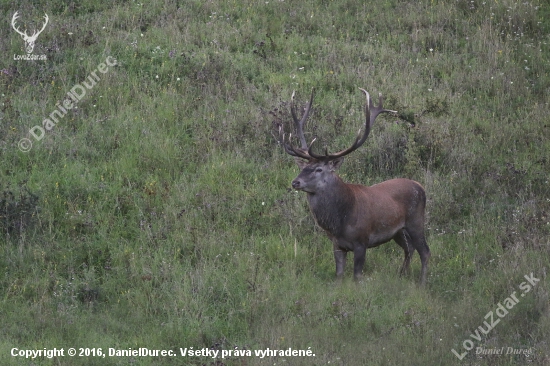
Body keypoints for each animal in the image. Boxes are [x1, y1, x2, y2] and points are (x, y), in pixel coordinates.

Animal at [280, 88, 432, 286]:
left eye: (319, 169)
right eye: (303, 167)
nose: (295, 182)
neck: (340, 222)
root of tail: (420, 186)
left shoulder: (362, 241)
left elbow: (357, 276)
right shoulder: (336, 244)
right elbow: (339, 275)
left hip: (416, 221)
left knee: (425, 251)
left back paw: (422, 283)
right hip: (398, 232)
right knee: (409, 248)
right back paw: (401, 275)